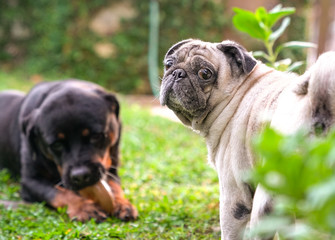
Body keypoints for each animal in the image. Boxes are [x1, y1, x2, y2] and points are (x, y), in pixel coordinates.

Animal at [0, 79, 138, 222]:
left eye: (96, 136)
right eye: (56, 144)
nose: (81, 175)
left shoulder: (112, 168)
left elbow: (115, 186)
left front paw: (122, 204)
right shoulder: (30, 181)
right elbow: (58, 192)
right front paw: (83, 207)